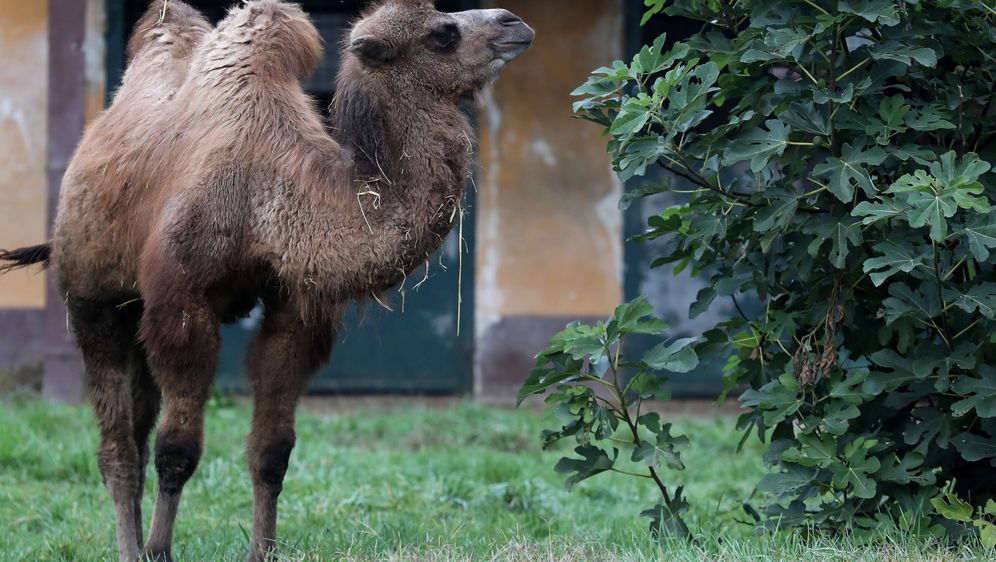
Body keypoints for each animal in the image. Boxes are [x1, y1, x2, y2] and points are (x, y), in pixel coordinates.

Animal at [0, 1, 532, 556]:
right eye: (442, 34)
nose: (513, 22)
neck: (270, 195)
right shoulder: (183, 304)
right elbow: (178, 451)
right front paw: (159, 550)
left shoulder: (295, 310)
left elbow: (272, 452)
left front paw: (262, 550)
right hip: (92, 299)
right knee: (118, 448)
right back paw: (130, 548)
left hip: (137, 313)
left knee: (138, 431)